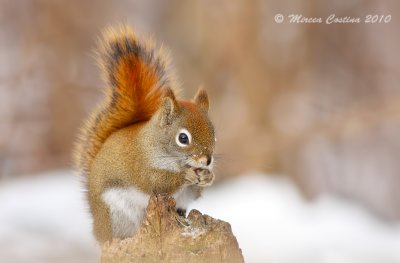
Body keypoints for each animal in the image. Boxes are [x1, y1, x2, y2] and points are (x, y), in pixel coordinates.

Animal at [72, 25, 216, 243]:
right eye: (183, 138)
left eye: (214, 134)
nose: (207, 160)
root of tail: (98, 228)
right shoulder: (140, 166)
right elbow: (155, 182)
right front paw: (186, 175)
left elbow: (194, 192)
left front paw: (208, 176)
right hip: (115, 215)